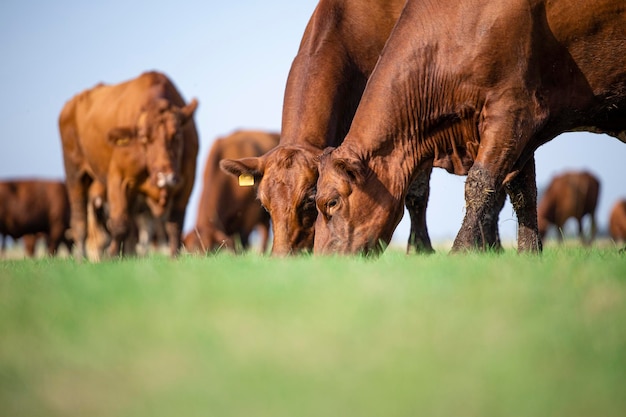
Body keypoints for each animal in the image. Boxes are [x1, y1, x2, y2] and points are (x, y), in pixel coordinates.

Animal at [312, 0, 624, 255]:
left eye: (331, 202)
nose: (323, 261)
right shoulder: (522, 135)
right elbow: (523, 193)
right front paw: (529, 255)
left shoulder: (513, 111)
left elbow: (480, 183)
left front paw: (460, 251)